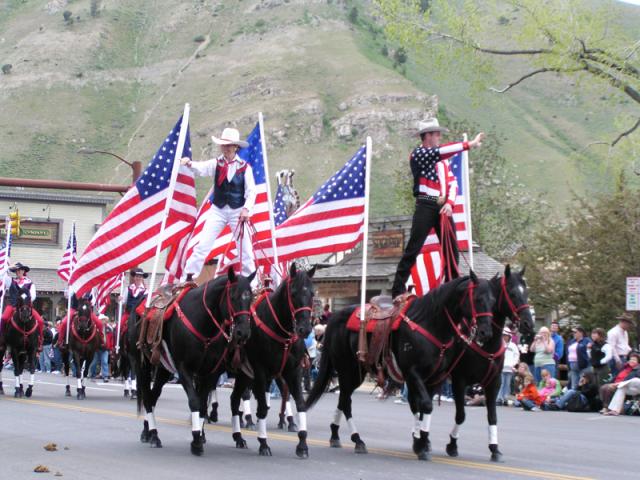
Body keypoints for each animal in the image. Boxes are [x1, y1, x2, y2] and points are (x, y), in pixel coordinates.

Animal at [136, 268, 255, 456]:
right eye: (233, 296)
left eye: (250, 297)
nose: (243, 332)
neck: (203, 322)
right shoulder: (184, 369)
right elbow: (195, 402)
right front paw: (197, 441)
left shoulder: (210, 372)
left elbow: (203, 404)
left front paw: (198, 436)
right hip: (142, 366)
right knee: (148, 399)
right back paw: (154, 436)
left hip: (163, 370)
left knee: (153, 397)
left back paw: (149, 433)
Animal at [230, 262, 316, 458]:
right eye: (293, 292)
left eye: (312, 293)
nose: (305, 329)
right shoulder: (260, 371)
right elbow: (262, 406)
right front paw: (263, 442)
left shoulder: (293, 371)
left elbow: (300, 403)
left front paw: (302, 444)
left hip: (244, 375)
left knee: (235, 399)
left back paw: (239, 437)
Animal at [304, 272, 496, 460]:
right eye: (478, 299)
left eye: (493, 300)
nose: (486, 333)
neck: (431, 325)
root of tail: (337, 316)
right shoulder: (413, 373)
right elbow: (425, 405)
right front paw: (421, 444)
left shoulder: (434, 378)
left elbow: (420, 407)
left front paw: (421, 441)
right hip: (346, 369)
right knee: (345, 402)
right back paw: (357, 440)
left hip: (356, 373)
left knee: (343, 400)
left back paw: (335, 435)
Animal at [440, 266, 536, 462]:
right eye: (512, 293)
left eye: (526, 292)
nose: (528, 324)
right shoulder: (459, 381)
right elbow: (460, 415)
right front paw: (452, 445)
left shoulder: (494, 382)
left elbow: (492, 417)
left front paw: (494, 449)